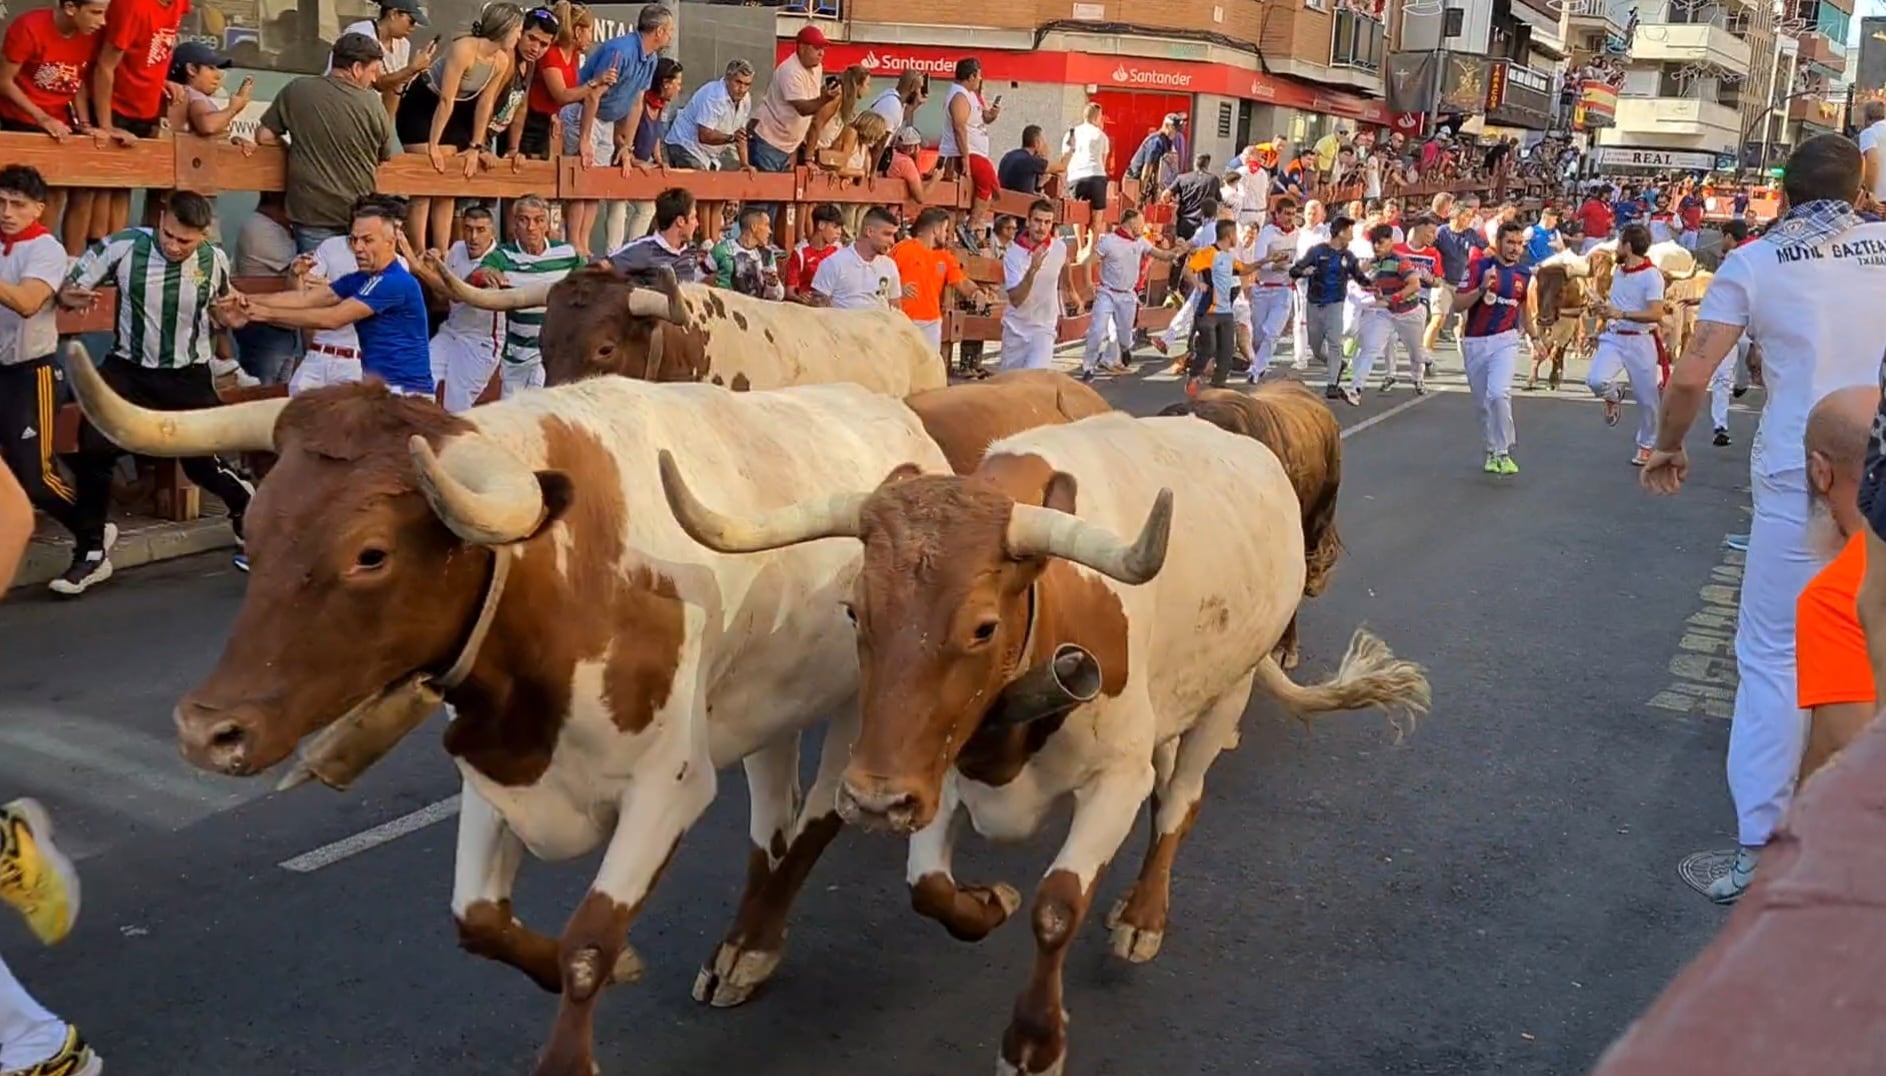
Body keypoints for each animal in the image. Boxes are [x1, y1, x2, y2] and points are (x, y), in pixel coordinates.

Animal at [64, 346, 958, 1076]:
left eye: (371, 554)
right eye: (254, 522)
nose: (206, 730)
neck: (556, 570)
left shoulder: (668, 781)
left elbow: (589, 942)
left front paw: (588, 1009)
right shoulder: (495, 767)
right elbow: (479, 920)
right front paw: (612, 963)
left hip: (866, 710)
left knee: (818, 820)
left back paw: (755, 943)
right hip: (771, 696)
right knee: (772, 819)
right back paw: (746, 949)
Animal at [660, 408, 1425, 1070]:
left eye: (983, 627)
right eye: (854, 610)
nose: (872, 801)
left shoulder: (1114, 778)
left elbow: (1058, 907)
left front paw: (1033, 1042)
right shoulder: (938, 774)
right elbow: (928, 888)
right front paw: (989, 901)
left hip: (1227, 691)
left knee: (1181, 799)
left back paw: (1143, 913)